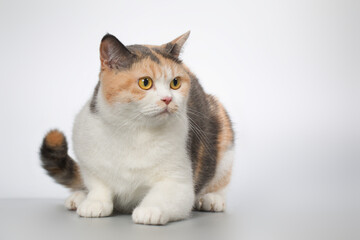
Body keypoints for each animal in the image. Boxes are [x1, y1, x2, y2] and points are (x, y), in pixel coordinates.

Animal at [40, 31, 233, 225]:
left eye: (175, 83)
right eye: (145, 82)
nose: (168, 99)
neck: (134, 131)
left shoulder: (179, 183)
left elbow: (163, 195)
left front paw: (150, 210)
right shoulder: (88, 156)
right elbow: (98, 185)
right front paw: (94, 202)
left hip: (223, 132)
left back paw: (211, 199)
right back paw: (78, 197)